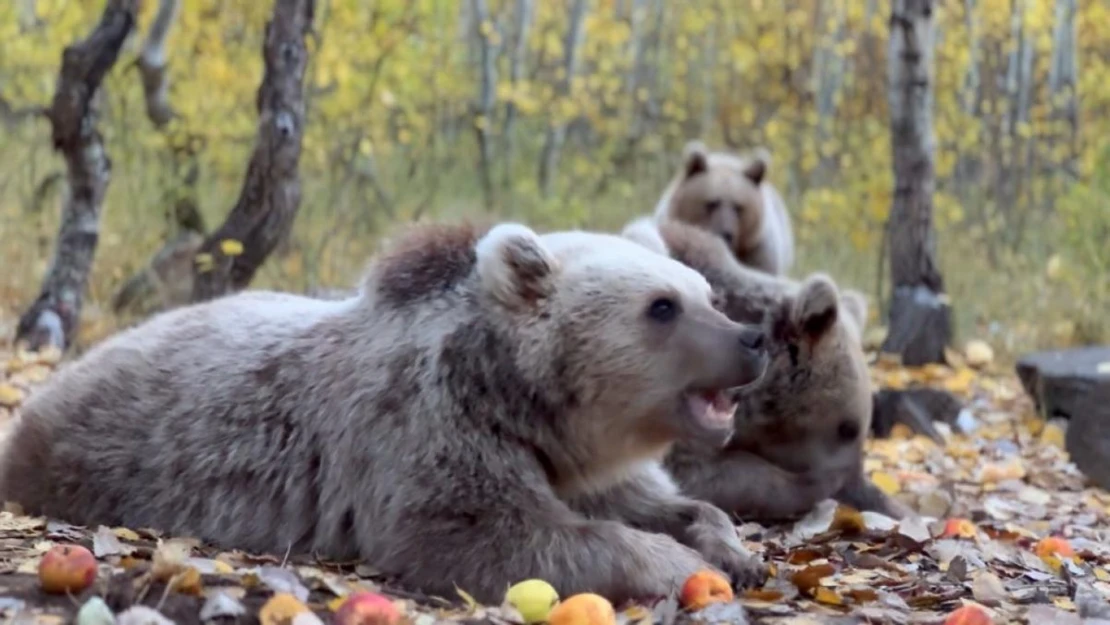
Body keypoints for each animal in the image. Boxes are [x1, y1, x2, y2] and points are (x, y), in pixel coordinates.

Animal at [0, 220, 777, 608]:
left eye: (705, 292)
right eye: (662, 306)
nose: (753, 340)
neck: (524, 404)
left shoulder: (579, 462)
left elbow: (665, 502)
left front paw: (733, 552)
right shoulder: (425, 428)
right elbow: (483, 534)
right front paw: (675, 564)